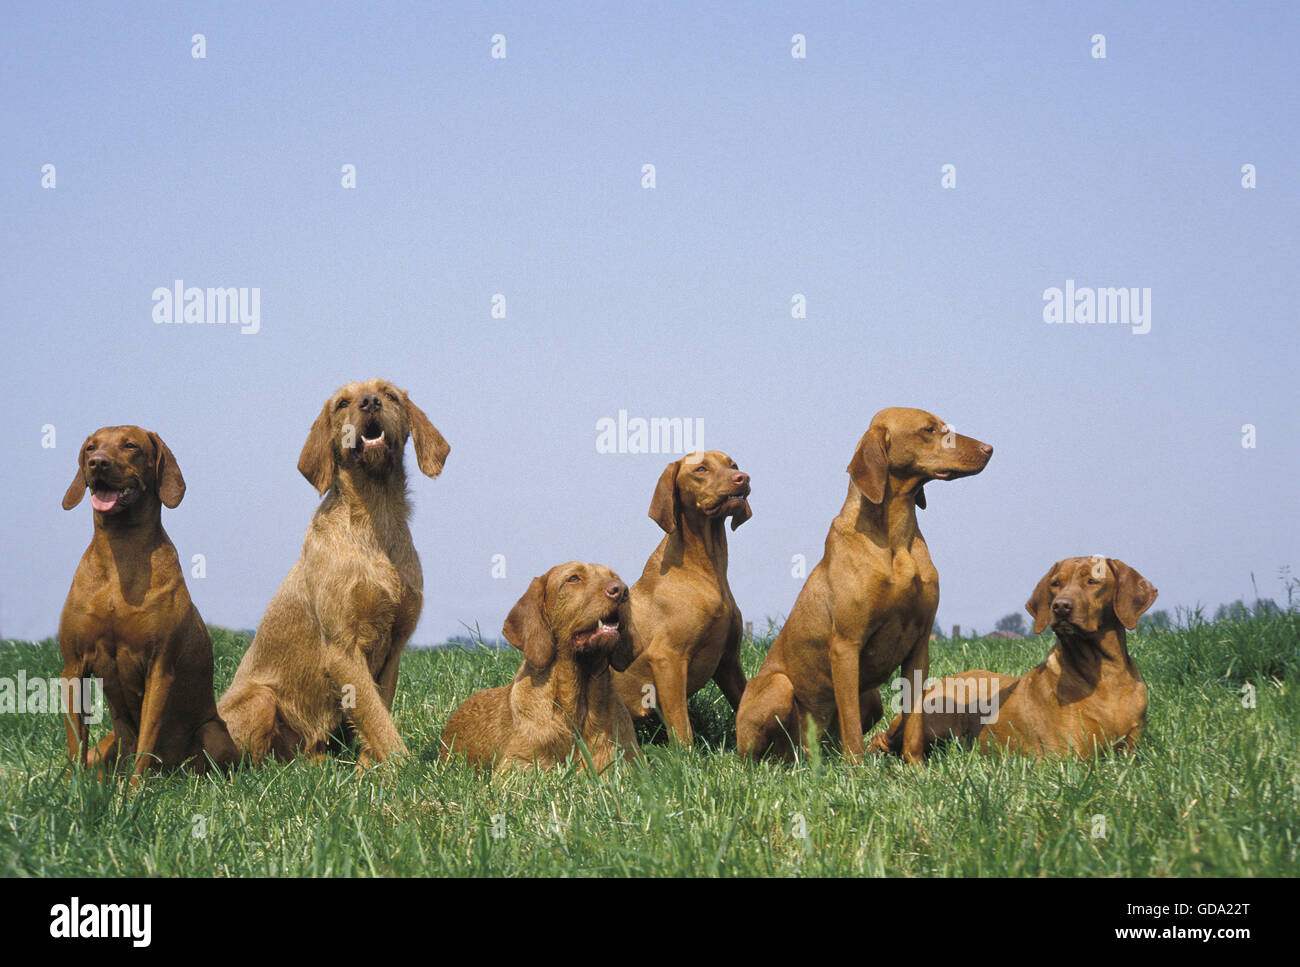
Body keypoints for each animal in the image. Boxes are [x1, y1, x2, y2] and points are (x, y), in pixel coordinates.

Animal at [58, 426, 239, 779]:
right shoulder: (73, 666)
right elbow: (76, 742)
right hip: (107, 746)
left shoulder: (159, 668)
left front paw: (133, 791)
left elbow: (146, 741)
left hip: (213, 734)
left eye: (131, 445)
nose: (97, 463)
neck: (122, 552)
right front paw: (75, 788)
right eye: (90, 448)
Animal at [616, 449, 759, 743]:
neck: (706, 570)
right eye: (701, 469)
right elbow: (682, 729)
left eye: (733, 465)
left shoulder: (729, 660)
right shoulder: (667, 658)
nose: (743, 478)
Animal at [868, 556, 1154, 759]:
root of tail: (934, 684)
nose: (1060, 606)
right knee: (881, 739)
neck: (1106, 675)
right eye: (1056, 583)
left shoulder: (1130, 753)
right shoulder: (1066, 758)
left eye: (1092, 581)